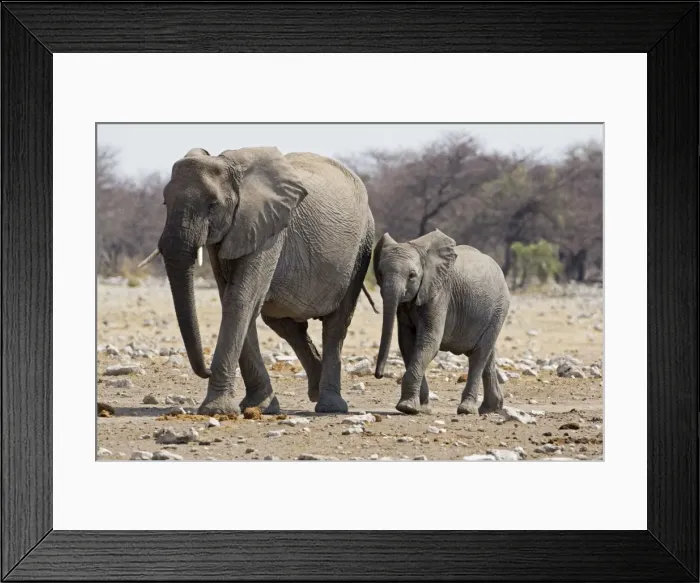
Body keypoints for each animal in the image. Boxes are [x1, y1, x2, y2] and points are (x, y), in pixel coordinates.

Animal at [140, 146, 376, 415]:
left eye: (213, 205)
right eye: (165, 202)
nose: (206, 369)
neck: (229, 165)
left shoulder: (269, 228)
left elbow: (241, 299)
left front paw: (217, 410)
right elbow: (233, 298)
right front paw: (260, 406)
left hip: (362, 247)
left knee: (337, 323)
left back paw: (329, 406)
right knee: (285, 325)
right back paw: (315, 390)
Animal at [372, 229, 510, 415]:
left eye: (411, 275)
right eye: (380, 273)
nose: (378, 375)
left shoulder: (440, 293)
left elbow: (429, 342)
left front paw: (406, 407)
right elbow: (407, 343)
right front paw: (422, 409)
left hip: (499, 308)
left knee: (479, 355)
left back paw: (467, 410)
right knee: (488, 354)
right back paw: (489, 409)